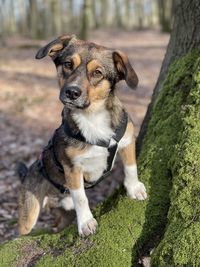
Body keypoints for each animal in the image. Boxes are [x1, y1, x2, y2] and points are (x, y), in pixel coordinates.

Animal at [18, 34, 147, 238]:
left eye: (98, 73)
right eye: (68, 64)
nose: (72, 92)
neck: (92, 116)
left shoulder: (127, 141)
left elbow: (131, 167)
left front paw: (134, 188)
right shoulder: (73, 168)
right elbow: (80, 197)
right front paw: (86, 222)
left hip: (63, 215)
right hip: (28, 216)